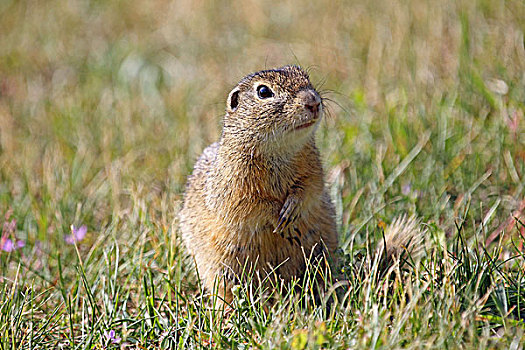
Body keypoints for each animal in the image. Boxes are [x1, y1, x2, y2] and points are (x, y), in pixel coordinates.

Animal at [180, 65, 422, 304]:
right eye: (263, 92)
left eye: (304, 75)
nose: (313, 101)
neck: (279, 150)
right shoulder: (233, 184)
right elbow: (250, 205)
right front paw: (278, 216)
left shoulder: (314, 168)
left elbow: (310, 188)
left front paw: (292, 209)